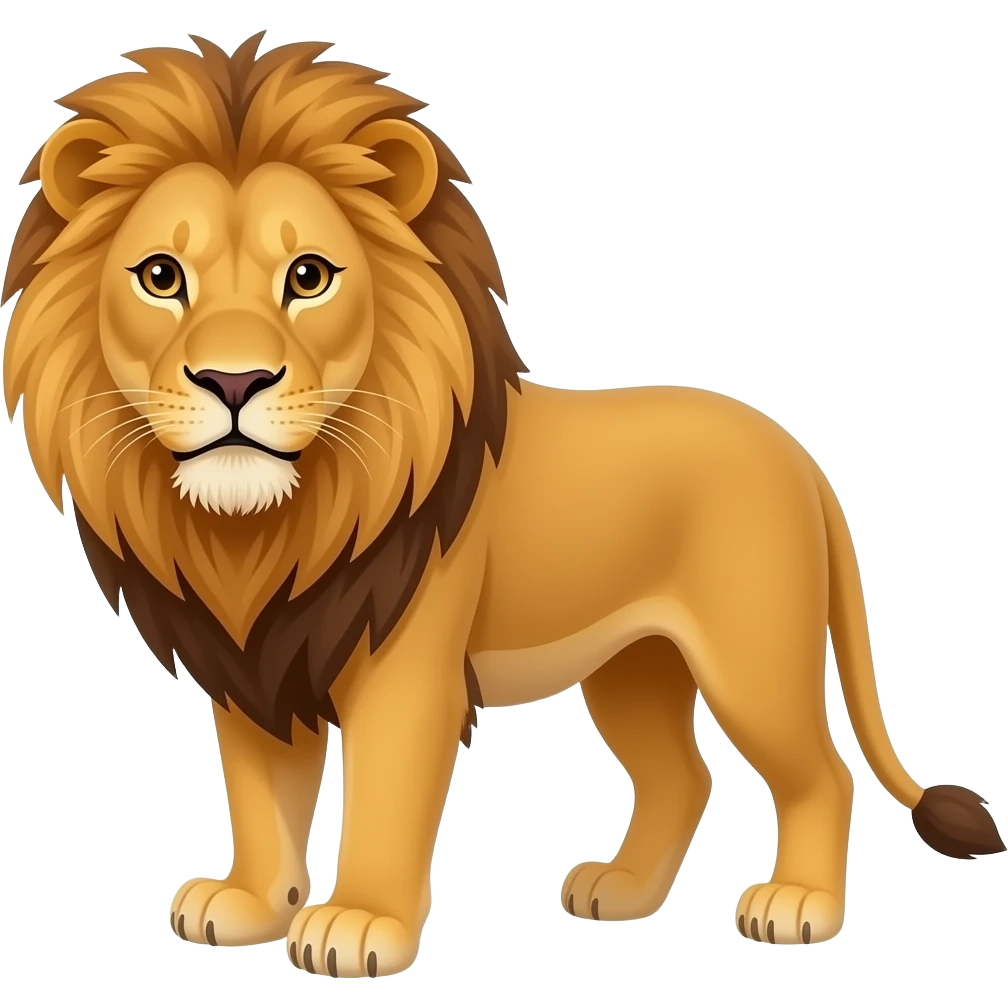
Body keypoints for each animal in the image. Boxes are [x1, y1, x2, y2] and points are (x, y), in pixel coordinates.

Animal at [2, 33, 1003, 977]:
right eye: (161, 277)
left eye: (310, 276)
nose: (235, 380)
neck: (267, 526)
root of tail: (800, 455)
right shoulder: (254, 654)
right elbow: (261, 794)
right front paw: (251, 903)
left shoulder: (407, 669)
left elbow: (385, 798)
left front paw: (359, 924)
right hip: (634, 665)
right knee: (683, 778)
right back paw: (621, 892)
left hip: (752, 654)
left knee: (821, 774)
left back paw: (798, 908)